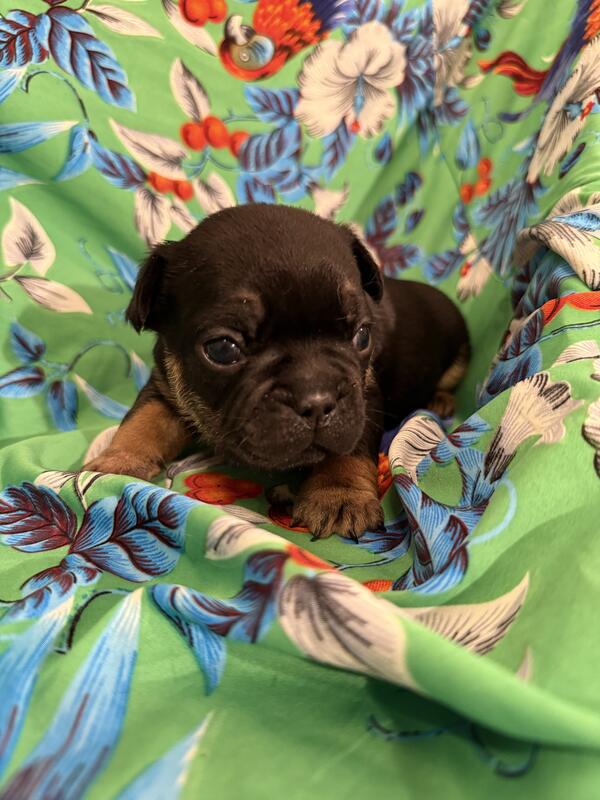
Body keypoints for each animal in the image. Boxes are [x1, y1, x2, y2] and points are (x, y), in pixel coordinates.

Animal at [86, 204, 469, 539]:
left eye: (362, 335)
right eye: (222, 349)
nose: (318, 400)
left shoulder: (364, 398)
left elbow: (347, 447)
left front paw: (338, 494)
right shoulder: (165, 386)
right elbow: (142, 420)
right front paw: (117, 460)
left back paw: (440, 400)